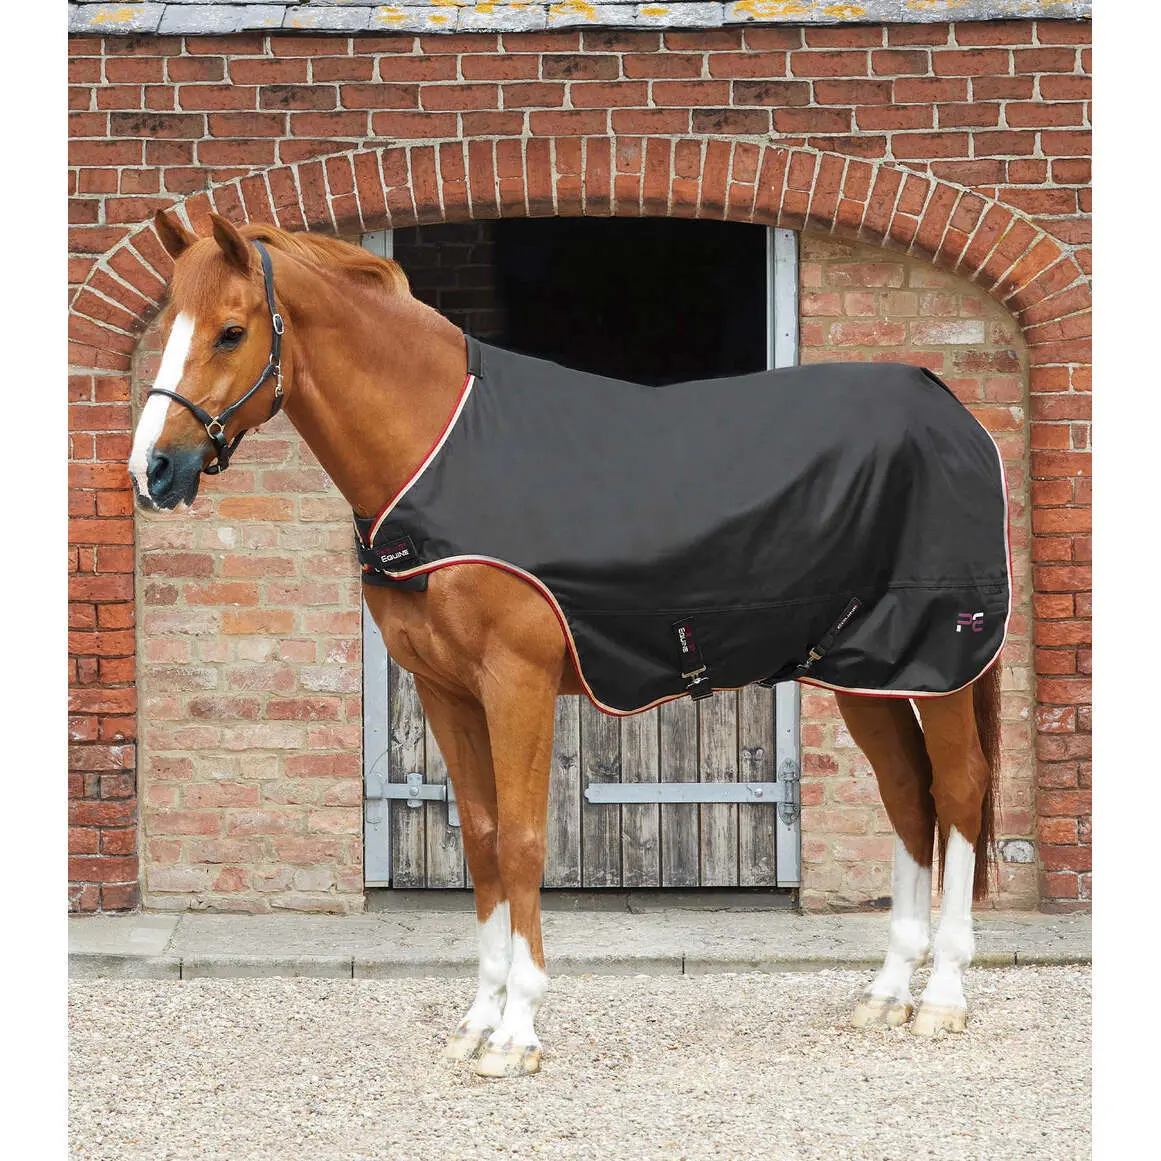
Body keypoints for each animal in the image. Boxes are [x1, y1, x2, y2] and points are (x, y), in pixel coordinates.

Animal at [129, 211, 1001, 1079]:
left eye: (231, 330)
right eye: (166, 324)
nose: (153, 470)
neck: (439, 455)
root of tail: (951, 411)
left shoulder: (515, 681)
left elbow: (522, 842)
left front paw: (517, 1031)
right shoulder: (445, 690)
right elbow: (482, 840)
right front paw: (478, 1020)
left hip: (939, 662)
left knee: (958, 787)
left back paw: (942, 996)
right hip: (866, 670)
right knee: (906, 794)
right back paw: (887, 992)